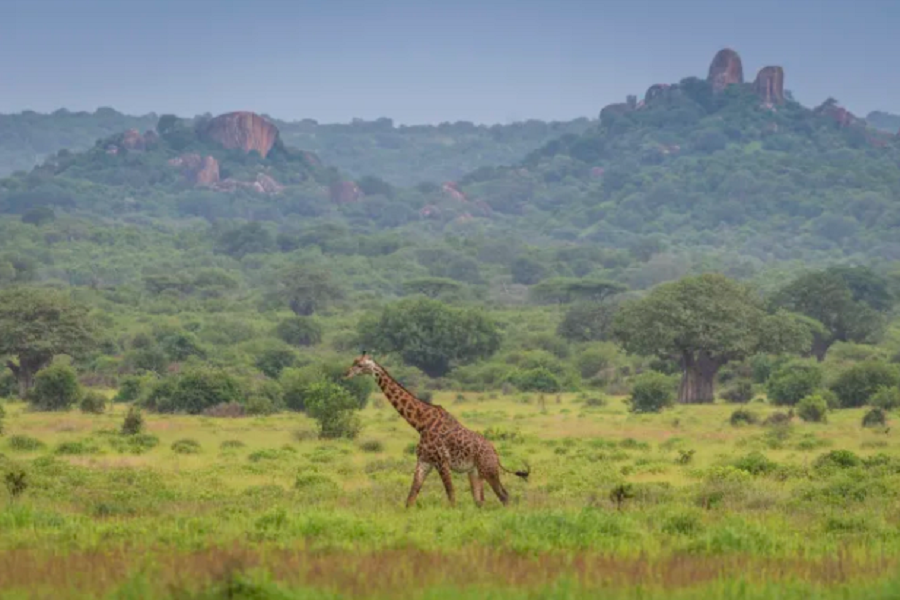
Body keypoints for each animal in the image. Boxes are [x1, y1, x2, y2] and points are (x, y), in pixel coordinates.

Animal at [342, 352, 528, 506]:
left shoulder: (442, 462)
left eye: (360, 365)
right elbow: (411, 497)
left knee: (504, 496)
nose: (346, 373)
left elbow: (451, 496)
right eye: (354, 362)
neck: (420, 423)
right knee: (480, 500)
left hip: (488, 469)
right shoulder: (424, 461)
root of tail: (495, 452)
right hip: (474, 472)